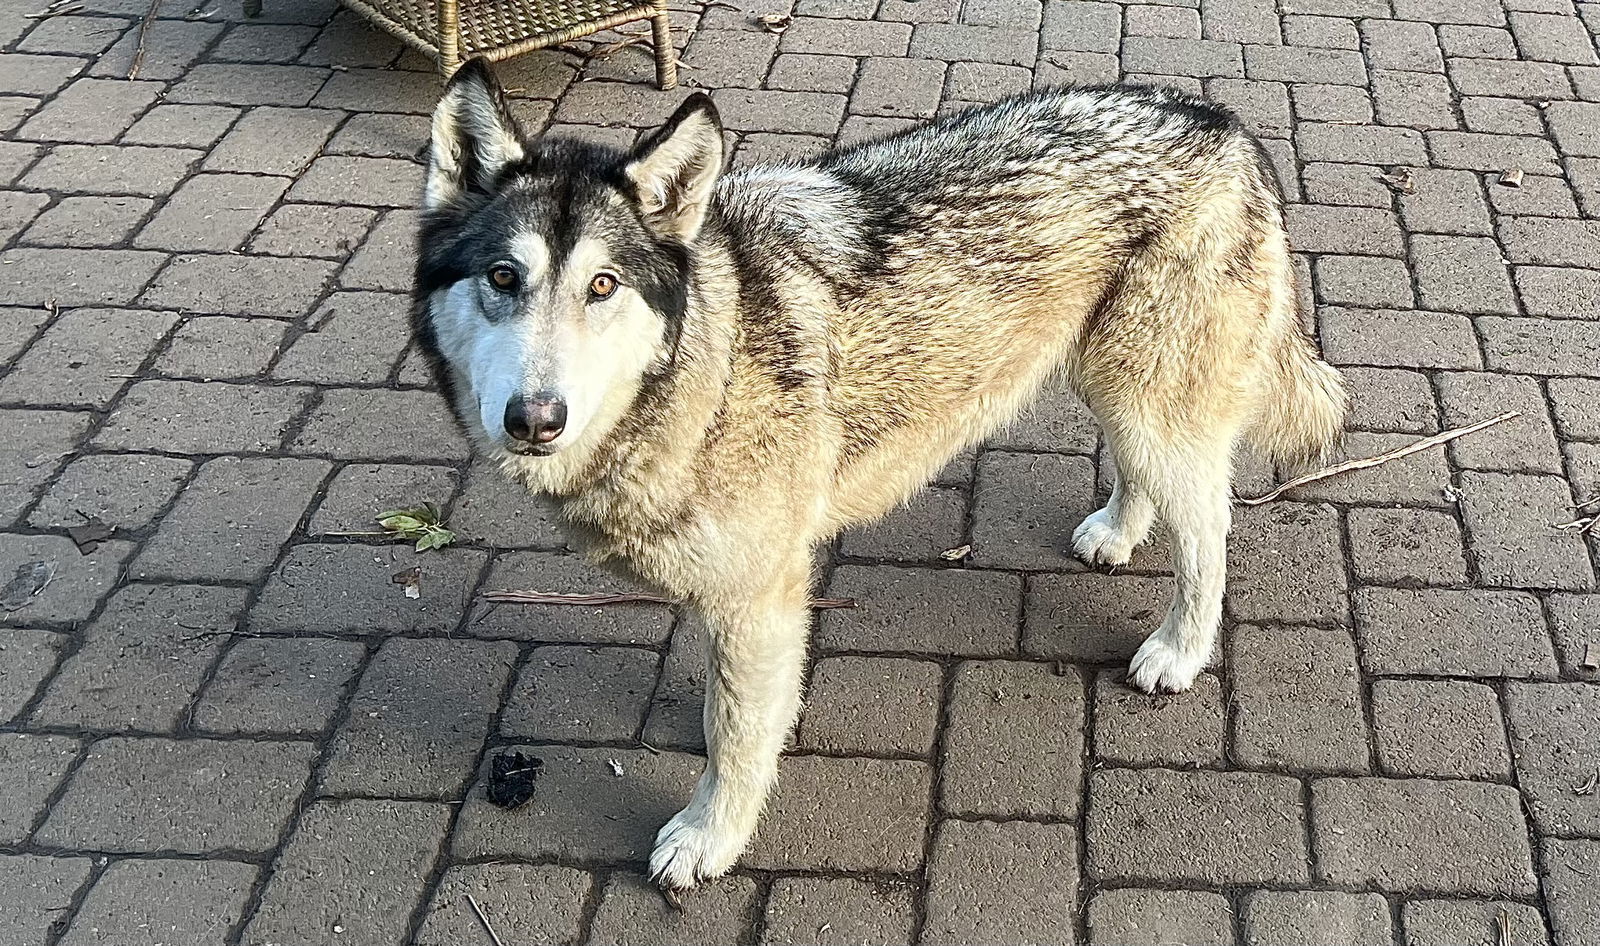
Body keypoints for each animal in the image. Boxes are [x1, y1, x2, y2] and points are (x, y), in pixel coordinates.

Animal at [416, 59, 1350, 889]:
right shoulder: (741, 594)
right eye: (504, 278)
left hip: (1150, 402)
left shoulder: (760, 594)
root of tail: (1224, 123)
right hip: (1115, 386)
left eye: (603, 286)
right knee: (1149, 479)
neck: (708, 363)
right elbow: (736, 703)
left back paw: (1179, 649)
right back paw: (1119, 530)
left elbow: (736, 736)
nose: (536, 419)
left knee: (1210, 534)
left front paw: (711, 835)